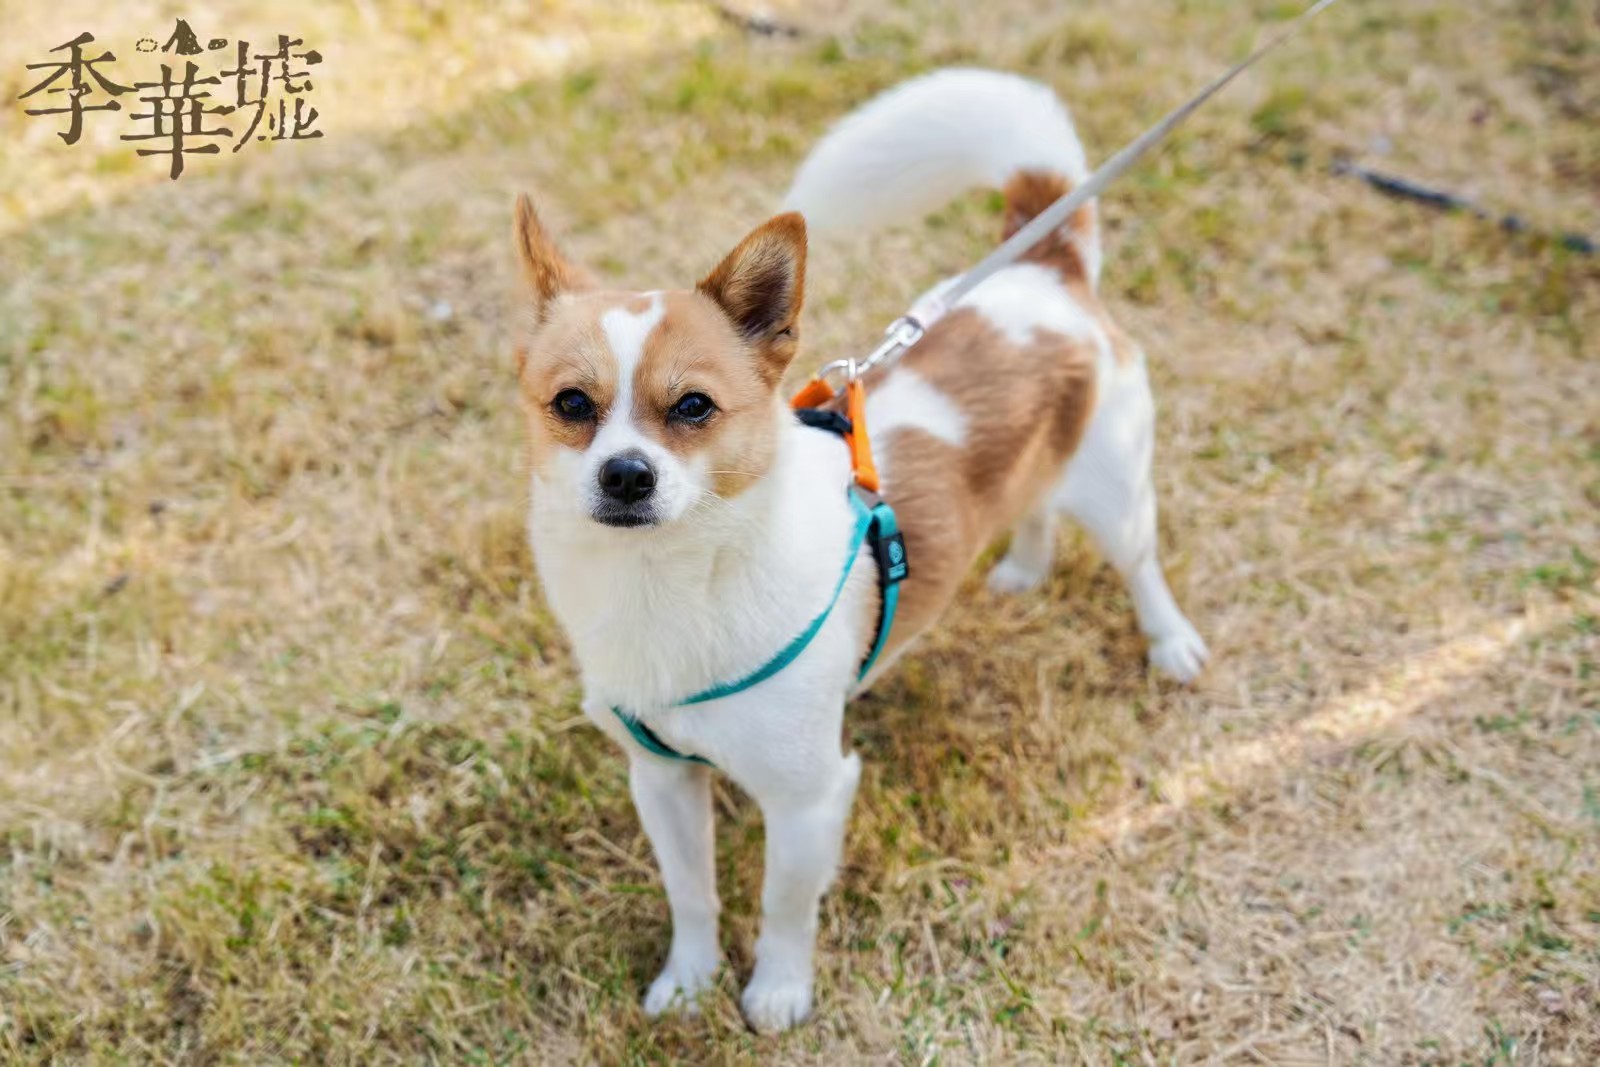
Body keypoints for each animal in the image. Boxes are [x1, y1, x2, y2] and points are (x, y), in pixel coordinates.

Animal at [513, 68, 1208, 1032]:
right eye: (572, 404)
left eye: (693, 407)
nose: (625, 475)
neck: (674, 582)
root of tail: (1043, 264)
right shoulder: (661, 779)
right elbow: (692, 892)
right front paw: (688, 981)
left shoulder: (809, 799)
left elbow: (783, 902)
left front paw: (777, 991)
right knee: (1035, 502)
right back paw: (1023, 568)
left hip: (1117, 489)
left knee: (1139, 560)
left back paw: (1170, 641)